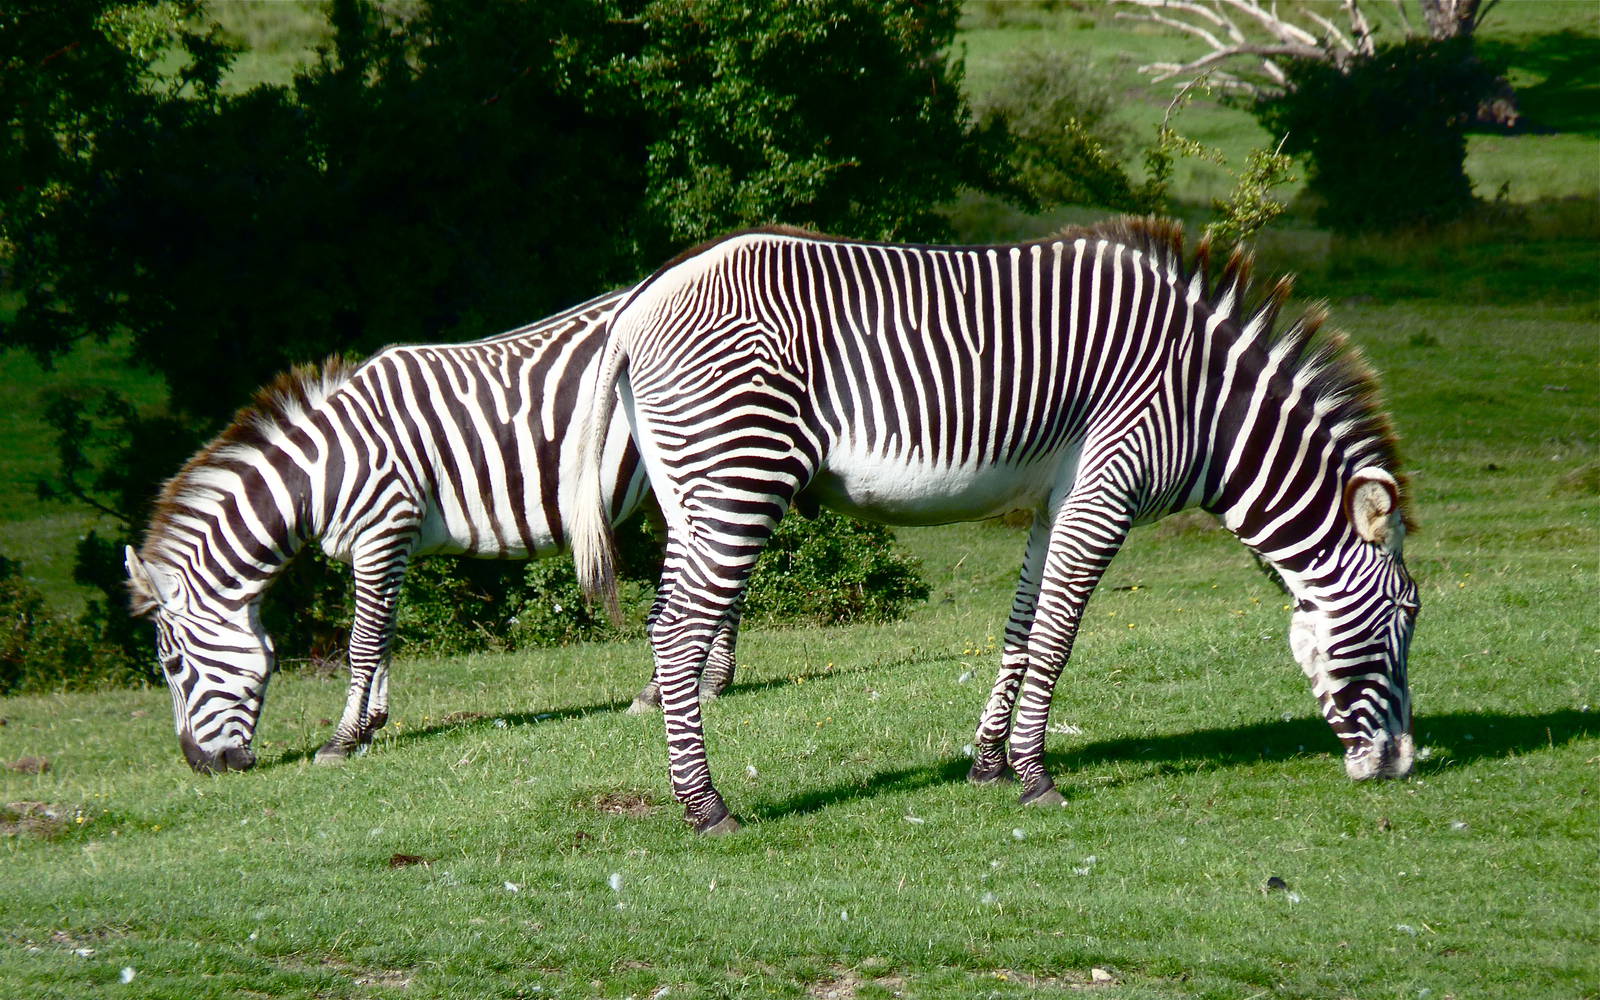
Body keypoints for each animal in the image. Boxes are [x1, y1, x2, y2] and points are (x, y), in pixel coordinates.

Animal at [125, 289, 736, 774]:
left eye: (172, 665)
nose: (200, 767)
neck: (324, 472)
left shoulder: (383, 529)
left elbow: (362, 644)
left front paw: (339, 742)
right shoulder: (389, 543)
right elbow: (385, 636)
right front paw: (371, 725)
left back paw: (689, 685)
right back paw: (696, 683)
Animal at [575, 217, 1418, 835]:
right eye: (1403, 619)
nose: (1404, 765)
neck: (1205, 406)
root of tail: (638, 306)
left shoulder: (1059, 502)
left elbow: (1020, 630)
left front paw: (989, 763)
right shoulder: (1108, 489)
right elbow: (1056, 641)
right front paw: (1037, 777)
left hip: (689, 492)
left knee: (665, 623)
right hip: (739, 475)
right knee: (681, 632)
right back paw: (706, 807)